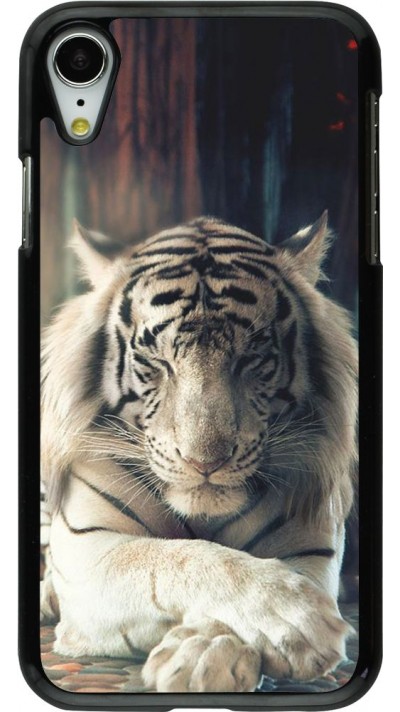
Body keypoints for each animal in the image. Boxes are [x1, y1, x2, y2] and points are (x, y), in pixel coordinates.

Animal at [40, 212, 358, 693]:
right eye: (156, 361)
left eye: (252, 358)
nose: (204, 462)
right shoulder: (89, 550)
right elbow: (177, 557)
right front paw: (296, 618)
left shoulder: (310, 550)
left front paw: (206, 655)